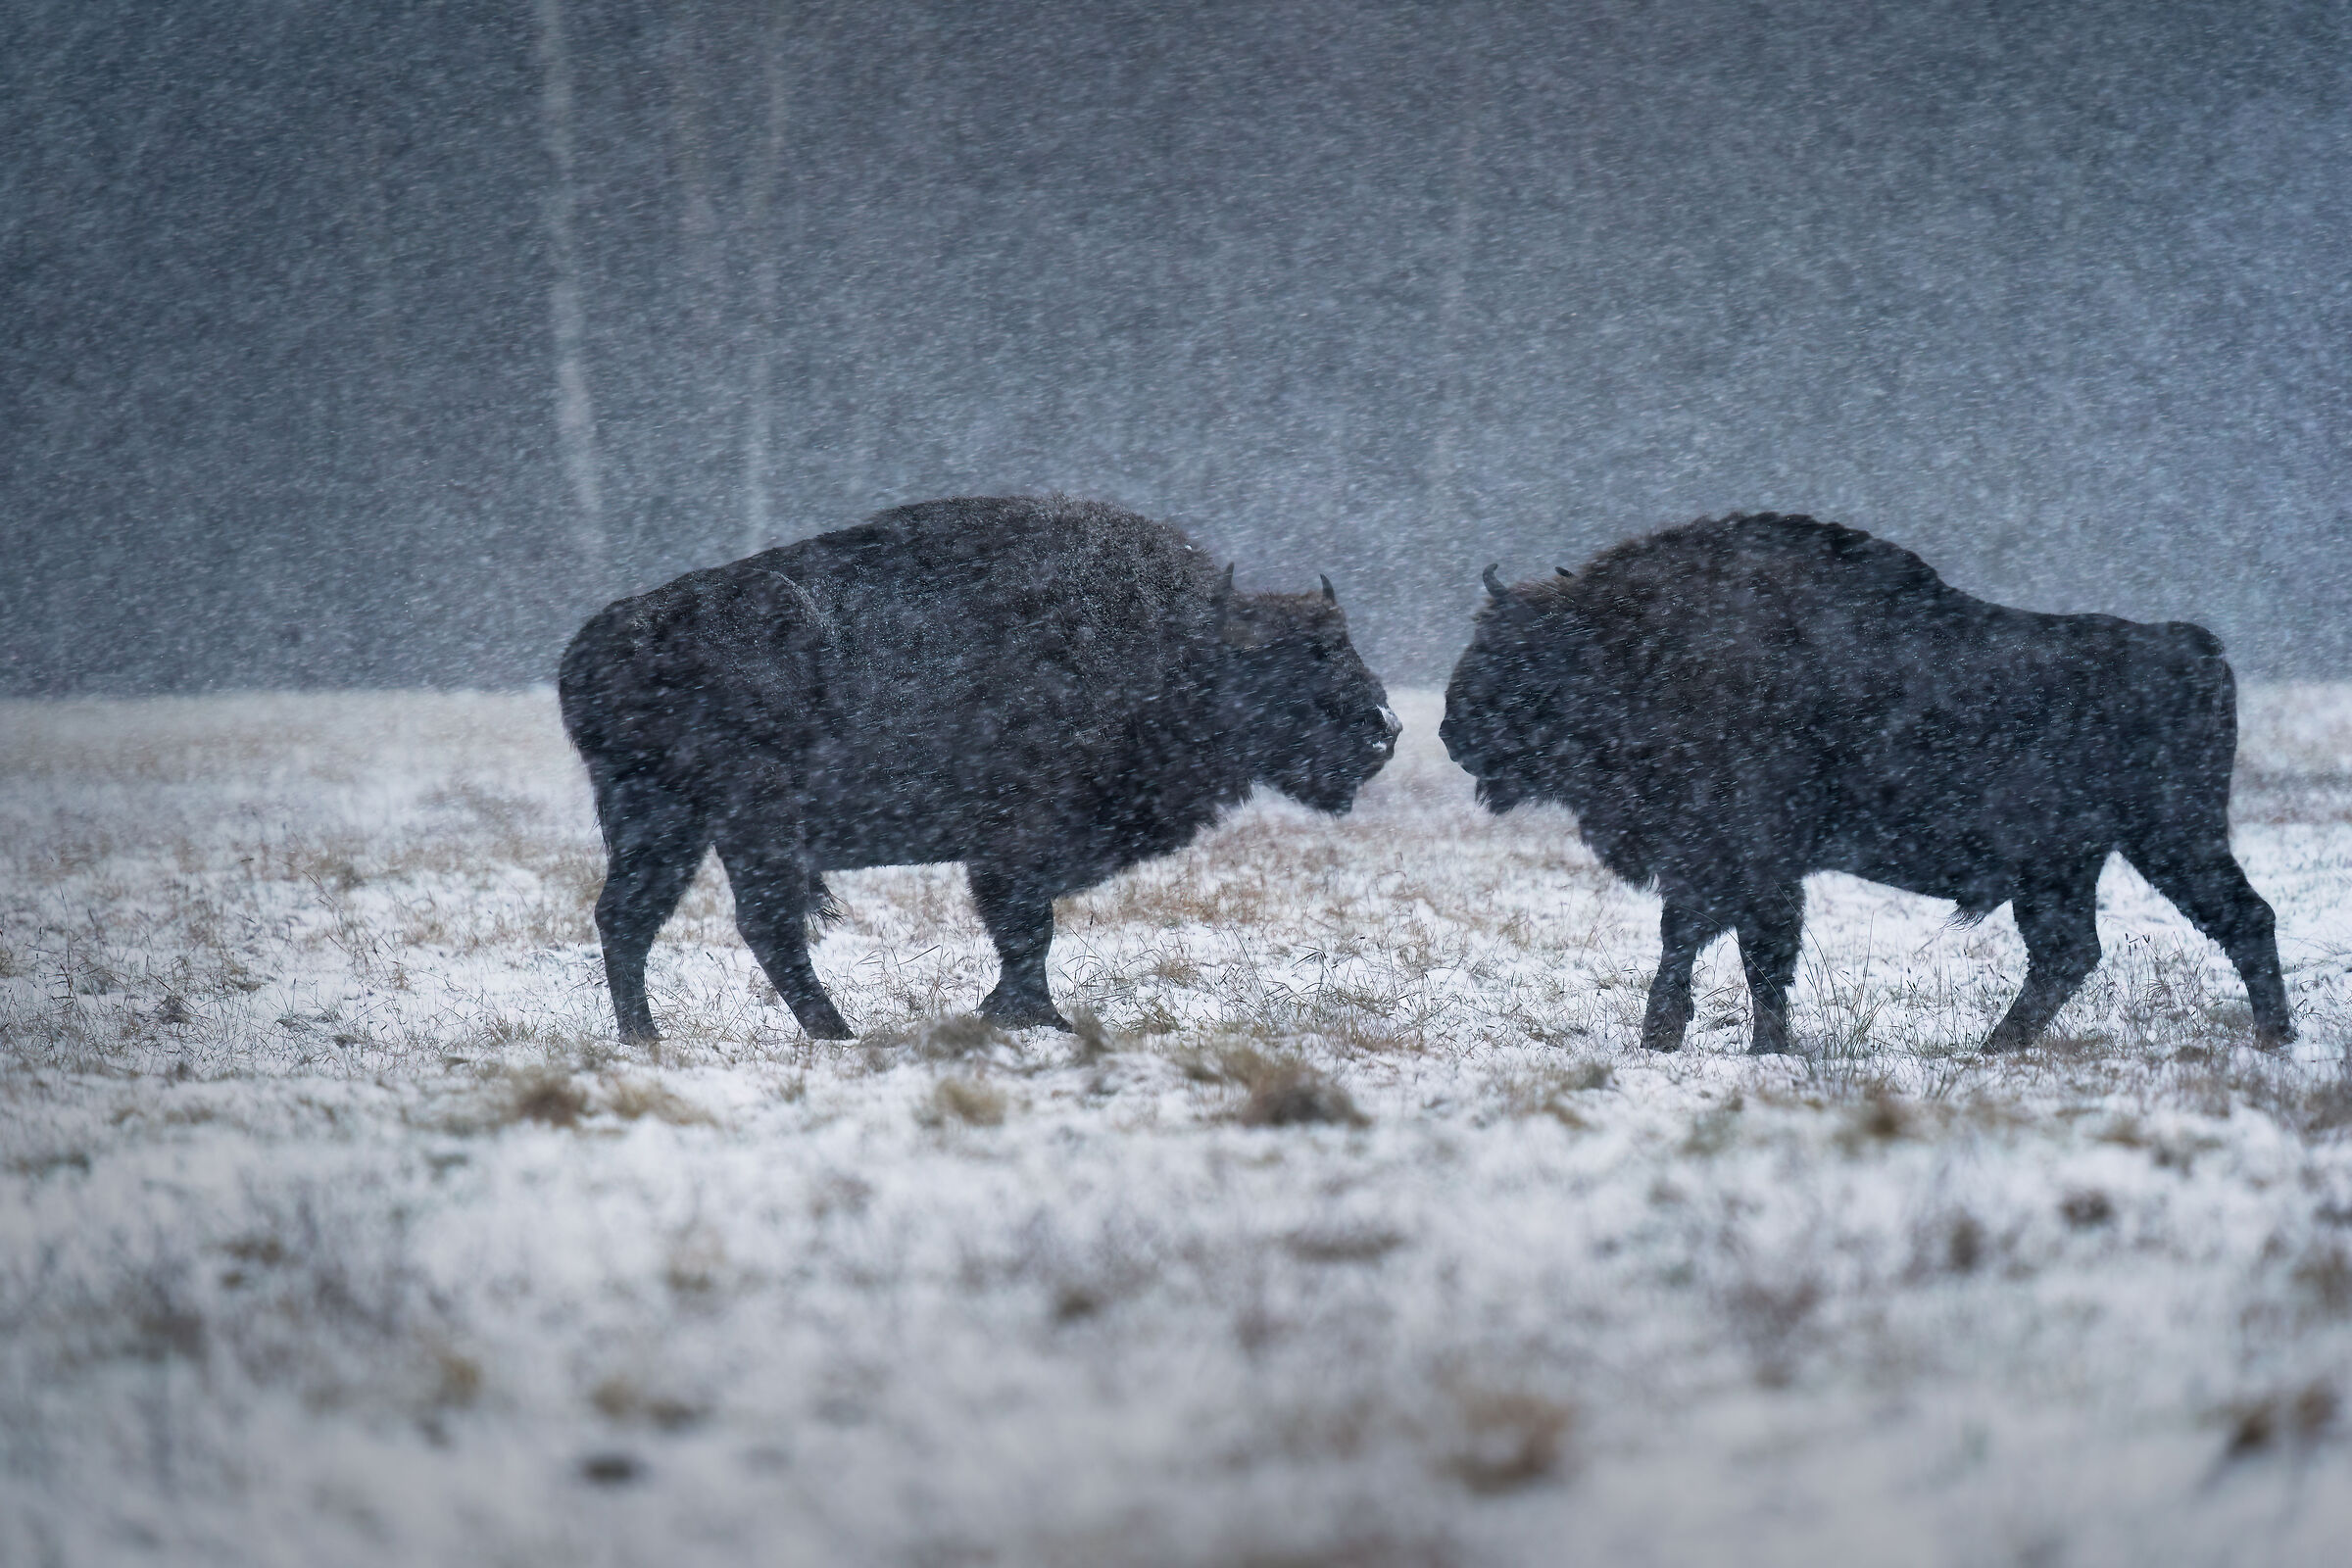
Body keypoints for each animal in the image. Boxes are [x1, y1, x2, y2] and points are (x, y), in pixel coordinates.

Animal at [560, 495, 1399, 1042]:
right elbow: (1029, 930)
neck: (1181, 647)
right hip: (743, 821)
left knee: (630, 917)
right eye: (1305, 657)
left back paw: (648, 1038)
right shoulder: (1016, 846)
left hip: (663, 824)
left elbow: (1027, 933)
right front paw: (1035, 1017)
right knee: (760, 923)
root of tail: (598, 640)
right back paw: (835, 1034)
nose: (1385, 729)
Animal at [1441, 512, 2293, 1055]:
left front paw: (1736, 1045)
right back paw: (1995, 1049)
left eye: (1520, 651)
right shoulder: (1725, 866)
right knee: (2072, 953)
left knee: (2239, 919)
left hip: (2170, 837)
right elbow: (1708, 943)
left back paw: (2272, 1041)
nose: (1452, 732)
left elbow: (1741, 950)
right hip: (2068, 865)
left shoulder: (1745, 860)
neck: (1639, 641)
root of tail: (2195, 647)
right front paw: (1686, 1039)